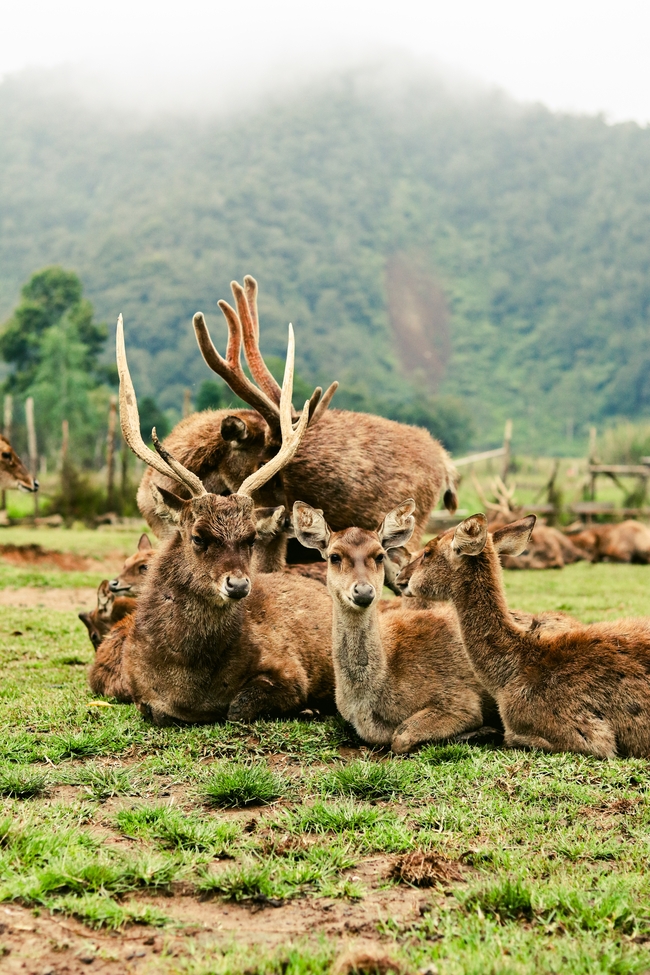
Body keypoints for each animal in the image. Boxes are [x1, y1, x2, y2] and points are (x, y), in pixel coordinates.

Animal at [89, 315, 335, 725]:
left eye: (250, 538)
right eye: (198, 536)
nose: (238, 584)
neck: (190, 681)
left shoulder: (289, 669)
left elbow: (239, 707)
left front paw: (308, 707)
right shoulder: (140, 692)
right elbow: (156, 711)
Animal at [293, 499, 498, 753]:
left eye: (380, 556)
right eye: (334, 556)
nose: (363, 591)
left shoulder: (461, 700)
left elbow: (400, 737)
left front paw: (481, 732)